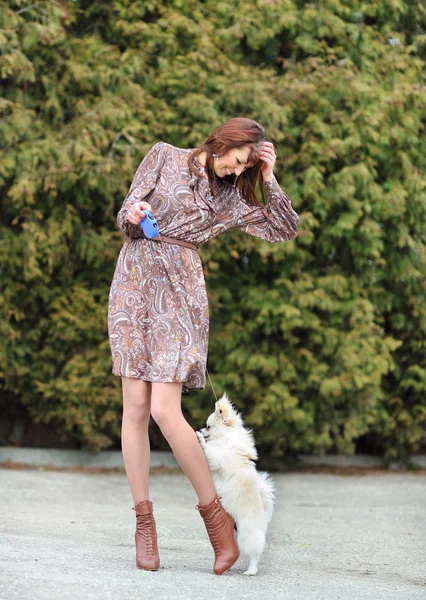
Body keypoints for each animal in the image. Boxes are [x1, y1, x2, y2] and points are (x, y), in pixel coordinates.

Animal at [197, 394, 276, 576]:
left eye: (208, 427)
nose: (202, 430)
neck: (225, 437)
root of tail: (264, 512)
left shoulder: (220, 458)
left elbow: (211, 452)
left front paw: (201, 440)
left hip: (247, 532)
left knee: (254, 554)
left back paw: (251, 570)